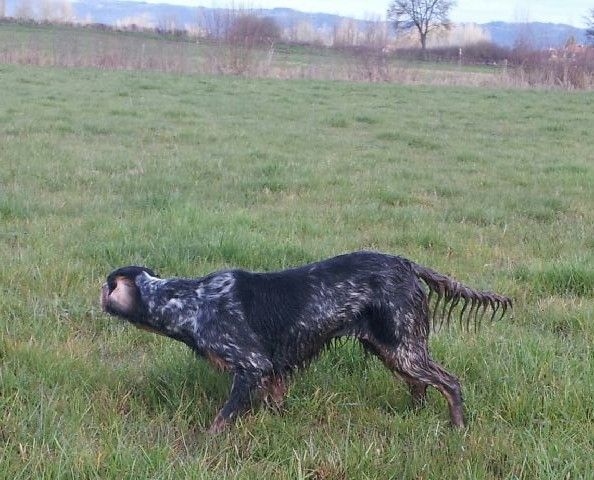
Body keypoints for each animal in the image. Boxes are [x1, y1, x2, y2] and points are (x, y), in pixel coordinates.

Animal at [100, 251, 508, 432]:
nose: (97, 294)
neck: (190, 300)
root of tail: (405, 263)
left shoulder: (252, 366)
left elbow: (222, 418)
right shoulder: (274, 373)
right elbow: (276, 404)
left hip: (403, 347)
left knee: (449, 382)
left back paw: (457, 427)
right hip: (390, 347)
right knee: (419, 385)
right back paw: (414, 415)